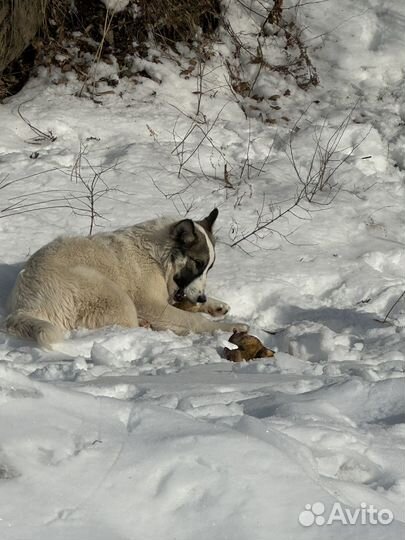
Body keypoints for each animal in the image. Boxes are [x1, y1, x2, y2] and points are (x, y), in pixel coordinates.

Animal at [5, 209, 246, 348]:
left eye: (209, 267)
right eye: (197, 263)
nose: (203, 299)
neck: (158, 257)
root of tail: (24, 307)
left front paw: (216, 305)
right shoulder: (152, 306)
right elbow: (193, 320)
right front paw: (230, 327)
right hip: (114, 295)